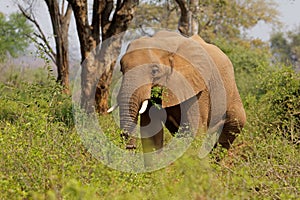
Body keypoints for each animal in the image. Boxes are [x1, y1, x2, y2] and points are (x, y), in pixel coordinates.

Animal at [108, 31, 246, 156]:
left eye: (154, 70)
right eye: (121, 69)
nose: (131, 147)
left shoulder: (198, 89)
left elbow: (194, 131)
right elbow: (151, 132)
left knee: (231, 129)